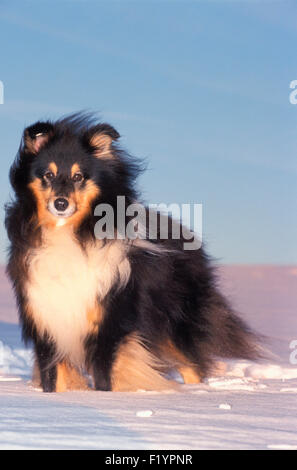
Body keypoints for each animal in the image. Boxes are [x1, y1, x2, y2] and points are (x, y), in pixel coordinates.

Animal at [5, 112, 260, 392]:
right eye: (48, 175)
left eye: (79, 176)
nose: (60, 203)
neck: (72, 236)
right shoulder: (47, 322)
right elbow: (54, 380)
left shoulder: (110, 324)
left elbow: (105, 378)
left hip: (176, 325)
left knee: (193, 365)